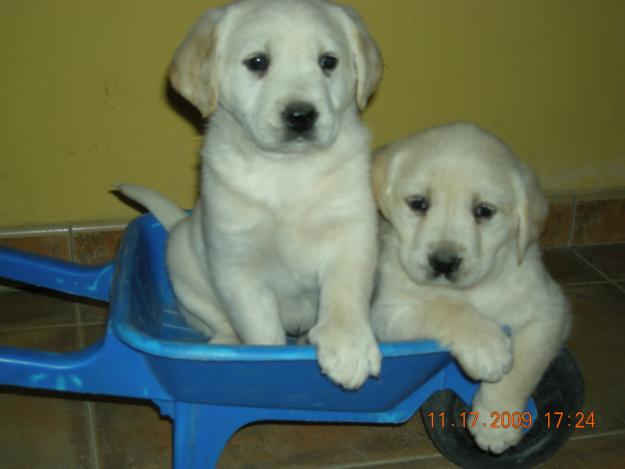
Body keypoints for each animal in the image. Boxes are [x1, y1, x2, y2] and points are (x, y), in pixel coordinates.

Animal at [116, 0, 380, 390]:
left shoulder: (351, 234)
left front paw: (348, 347)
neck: (287, 171)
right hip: (185, 272)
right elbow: (260, 330)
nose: (301, 116)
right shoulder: (237, 265)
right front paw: (262, 364)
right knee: (221, 322)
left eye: (328, 62)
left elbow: (345, 293)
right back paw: (220, 348)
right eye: (257, 62)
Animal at [370, 122, 572, 452]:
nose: (443, 262)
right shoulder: (389, 313)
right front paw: (487, 346)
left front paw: (497, 422)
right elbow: (445, 306)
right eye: (418, 203)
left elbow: (522, 367)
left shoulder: (549, 309)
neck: (472, 290)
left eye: (484, 211)